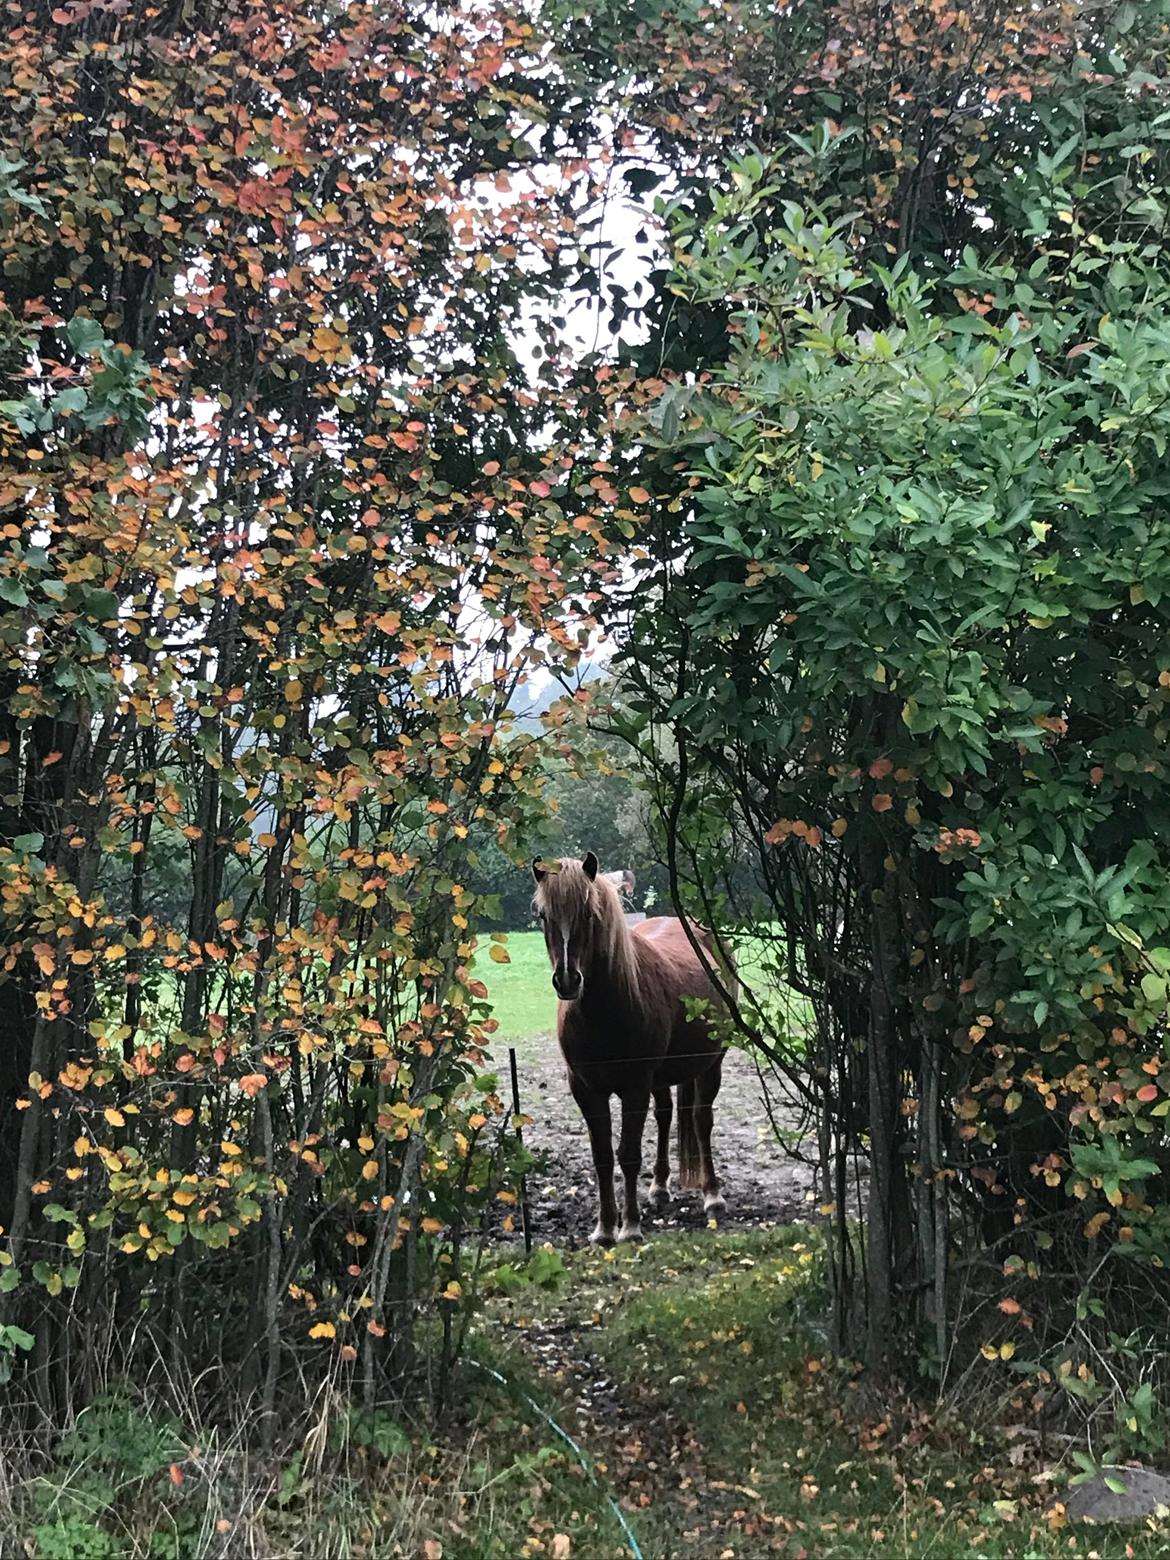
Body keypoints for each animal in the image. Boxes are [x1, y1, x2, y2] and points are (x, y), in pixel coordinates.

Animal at [533, 854, 733, 1241]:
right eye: (543, 915)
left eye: (589, 913)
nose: (567, 980)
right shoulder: (586, 1090)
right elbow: (602, 1157)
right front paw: (604, 1228)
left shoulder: (635, 1087)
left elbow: (627, 1154)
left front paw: (630, 1228)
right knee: (666, 1114)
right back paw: (659, 1188)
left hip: (710, 1064)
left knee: (701, 1120)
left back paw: (712, 1196)